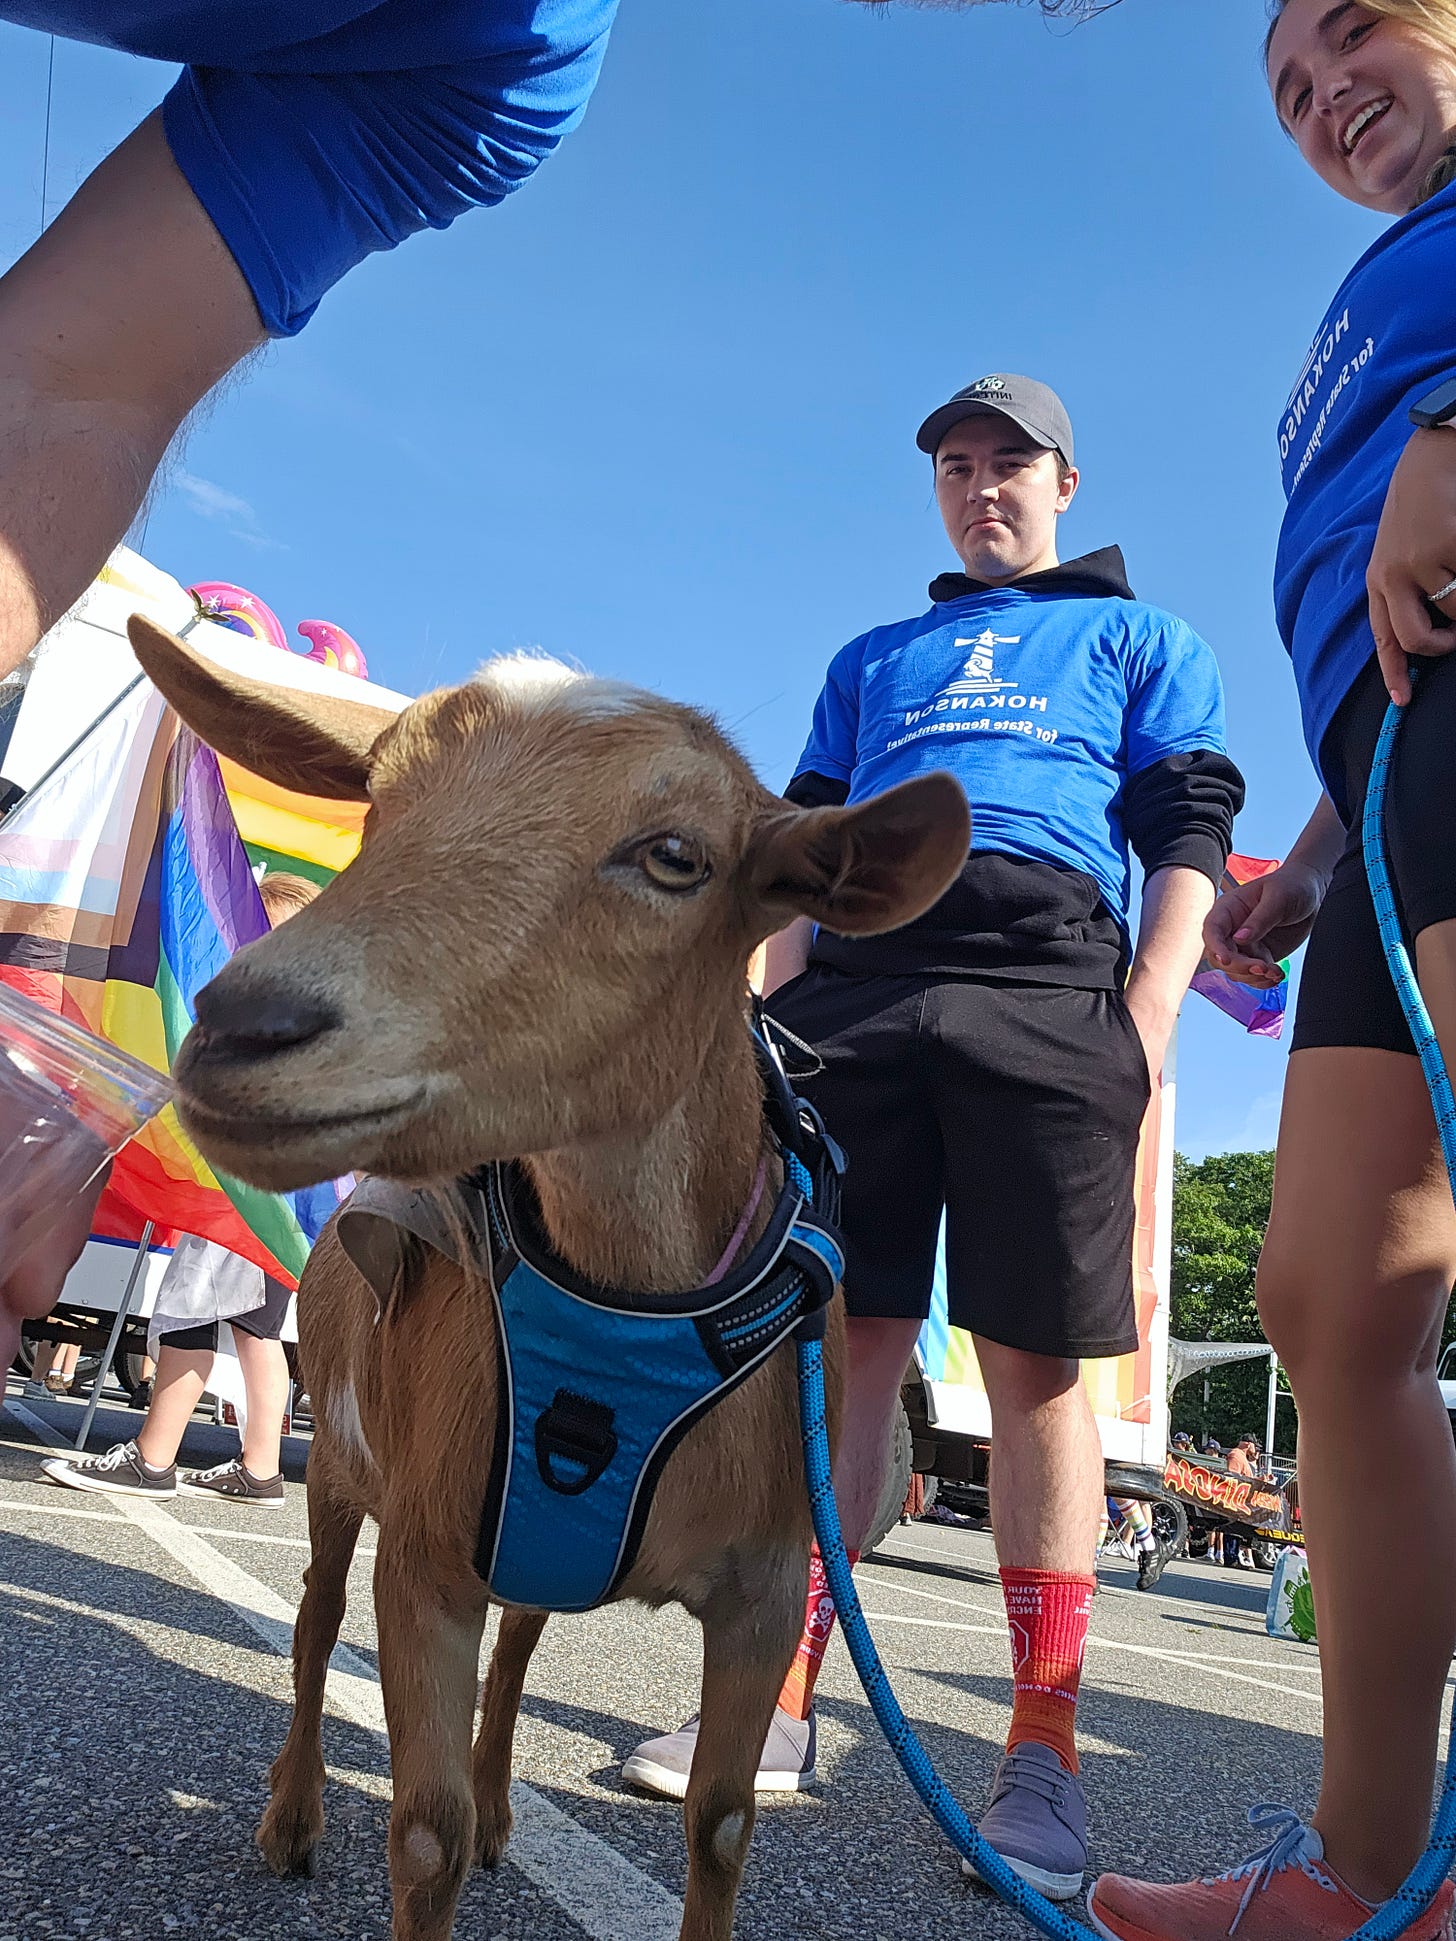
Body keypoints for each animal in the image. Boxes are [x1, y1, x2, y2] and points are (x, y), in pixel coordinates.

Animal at [125, 617, 970, 1941]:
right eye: (376, 801)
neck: (627, 1304)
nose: (242, 1027)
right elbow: (420, 1833)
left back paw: (498, 1805)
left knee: (522, 1639)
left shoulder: (767, 1583)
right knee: (314, 1621)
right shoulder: (426, 1547)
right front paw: (415, 1828)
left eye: (676, 856)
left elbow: (721, 1827)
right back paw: (294, 1815)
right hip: (350, 1468)